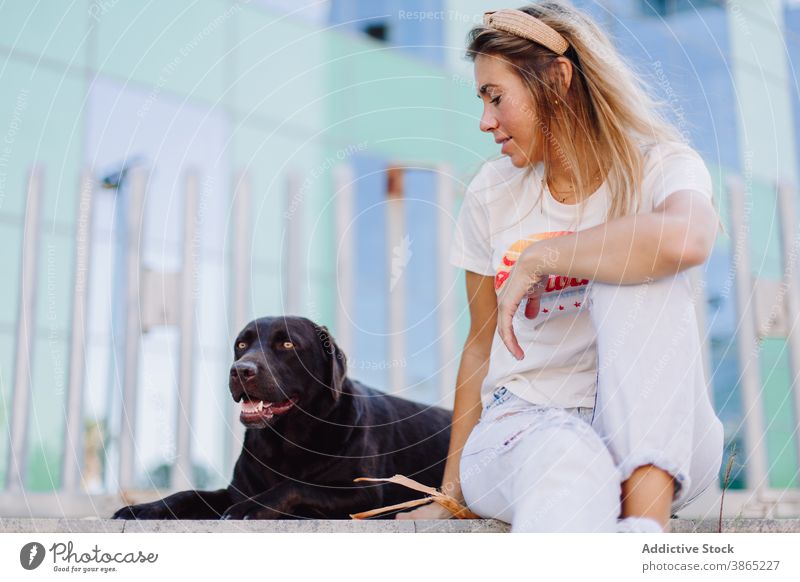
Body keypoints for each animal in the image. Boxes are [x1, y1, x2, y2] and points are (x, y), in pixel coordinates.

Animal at [111, 318, 454, 524]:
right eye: (241, 344)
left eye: (287, 344)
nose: (240, 370)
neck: (287, 442)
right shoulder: (237, 489)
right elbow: (189, 494)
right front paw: (143, 508)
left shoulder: (365, 496)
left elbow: (296, 485)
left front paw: (251, 508)